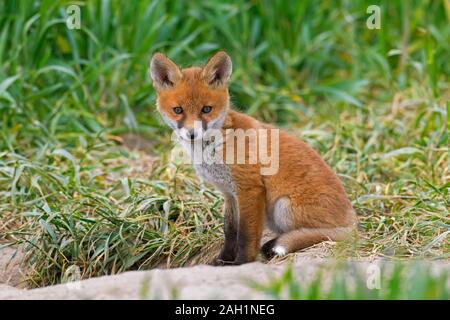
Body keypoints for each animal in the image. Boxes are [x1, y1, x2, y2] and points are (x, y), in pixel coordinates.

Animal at [149, 50, 356, 264]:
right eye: (178, 110)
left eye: (206, 109)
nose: (191, 134)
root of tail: (354, 220)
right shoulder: (229, 194)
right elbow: (230, 231)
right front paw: (222, 260)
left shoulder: (250, 188)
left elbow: (246, 234)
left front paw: (241, 262)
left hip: (283, 207)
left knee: (318, 234)